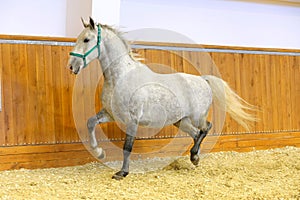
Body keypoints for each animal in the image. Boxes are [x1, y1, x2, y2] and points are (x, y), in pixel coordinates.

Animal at [68, 17, 258, 180]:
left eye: (86, 40)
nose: (71, 66)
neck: (120, 76)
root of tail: (203, 80)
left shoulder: (132, 119)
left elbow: (127, 147)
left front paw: (122, 173)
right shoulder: (110, 114)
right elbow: (90, 122)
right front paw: (99, 152)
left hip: (197, 117)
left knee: (206, 128)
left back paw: (194, 156)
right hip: (180, 121)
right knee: (196, 133)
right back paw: (194, 157)